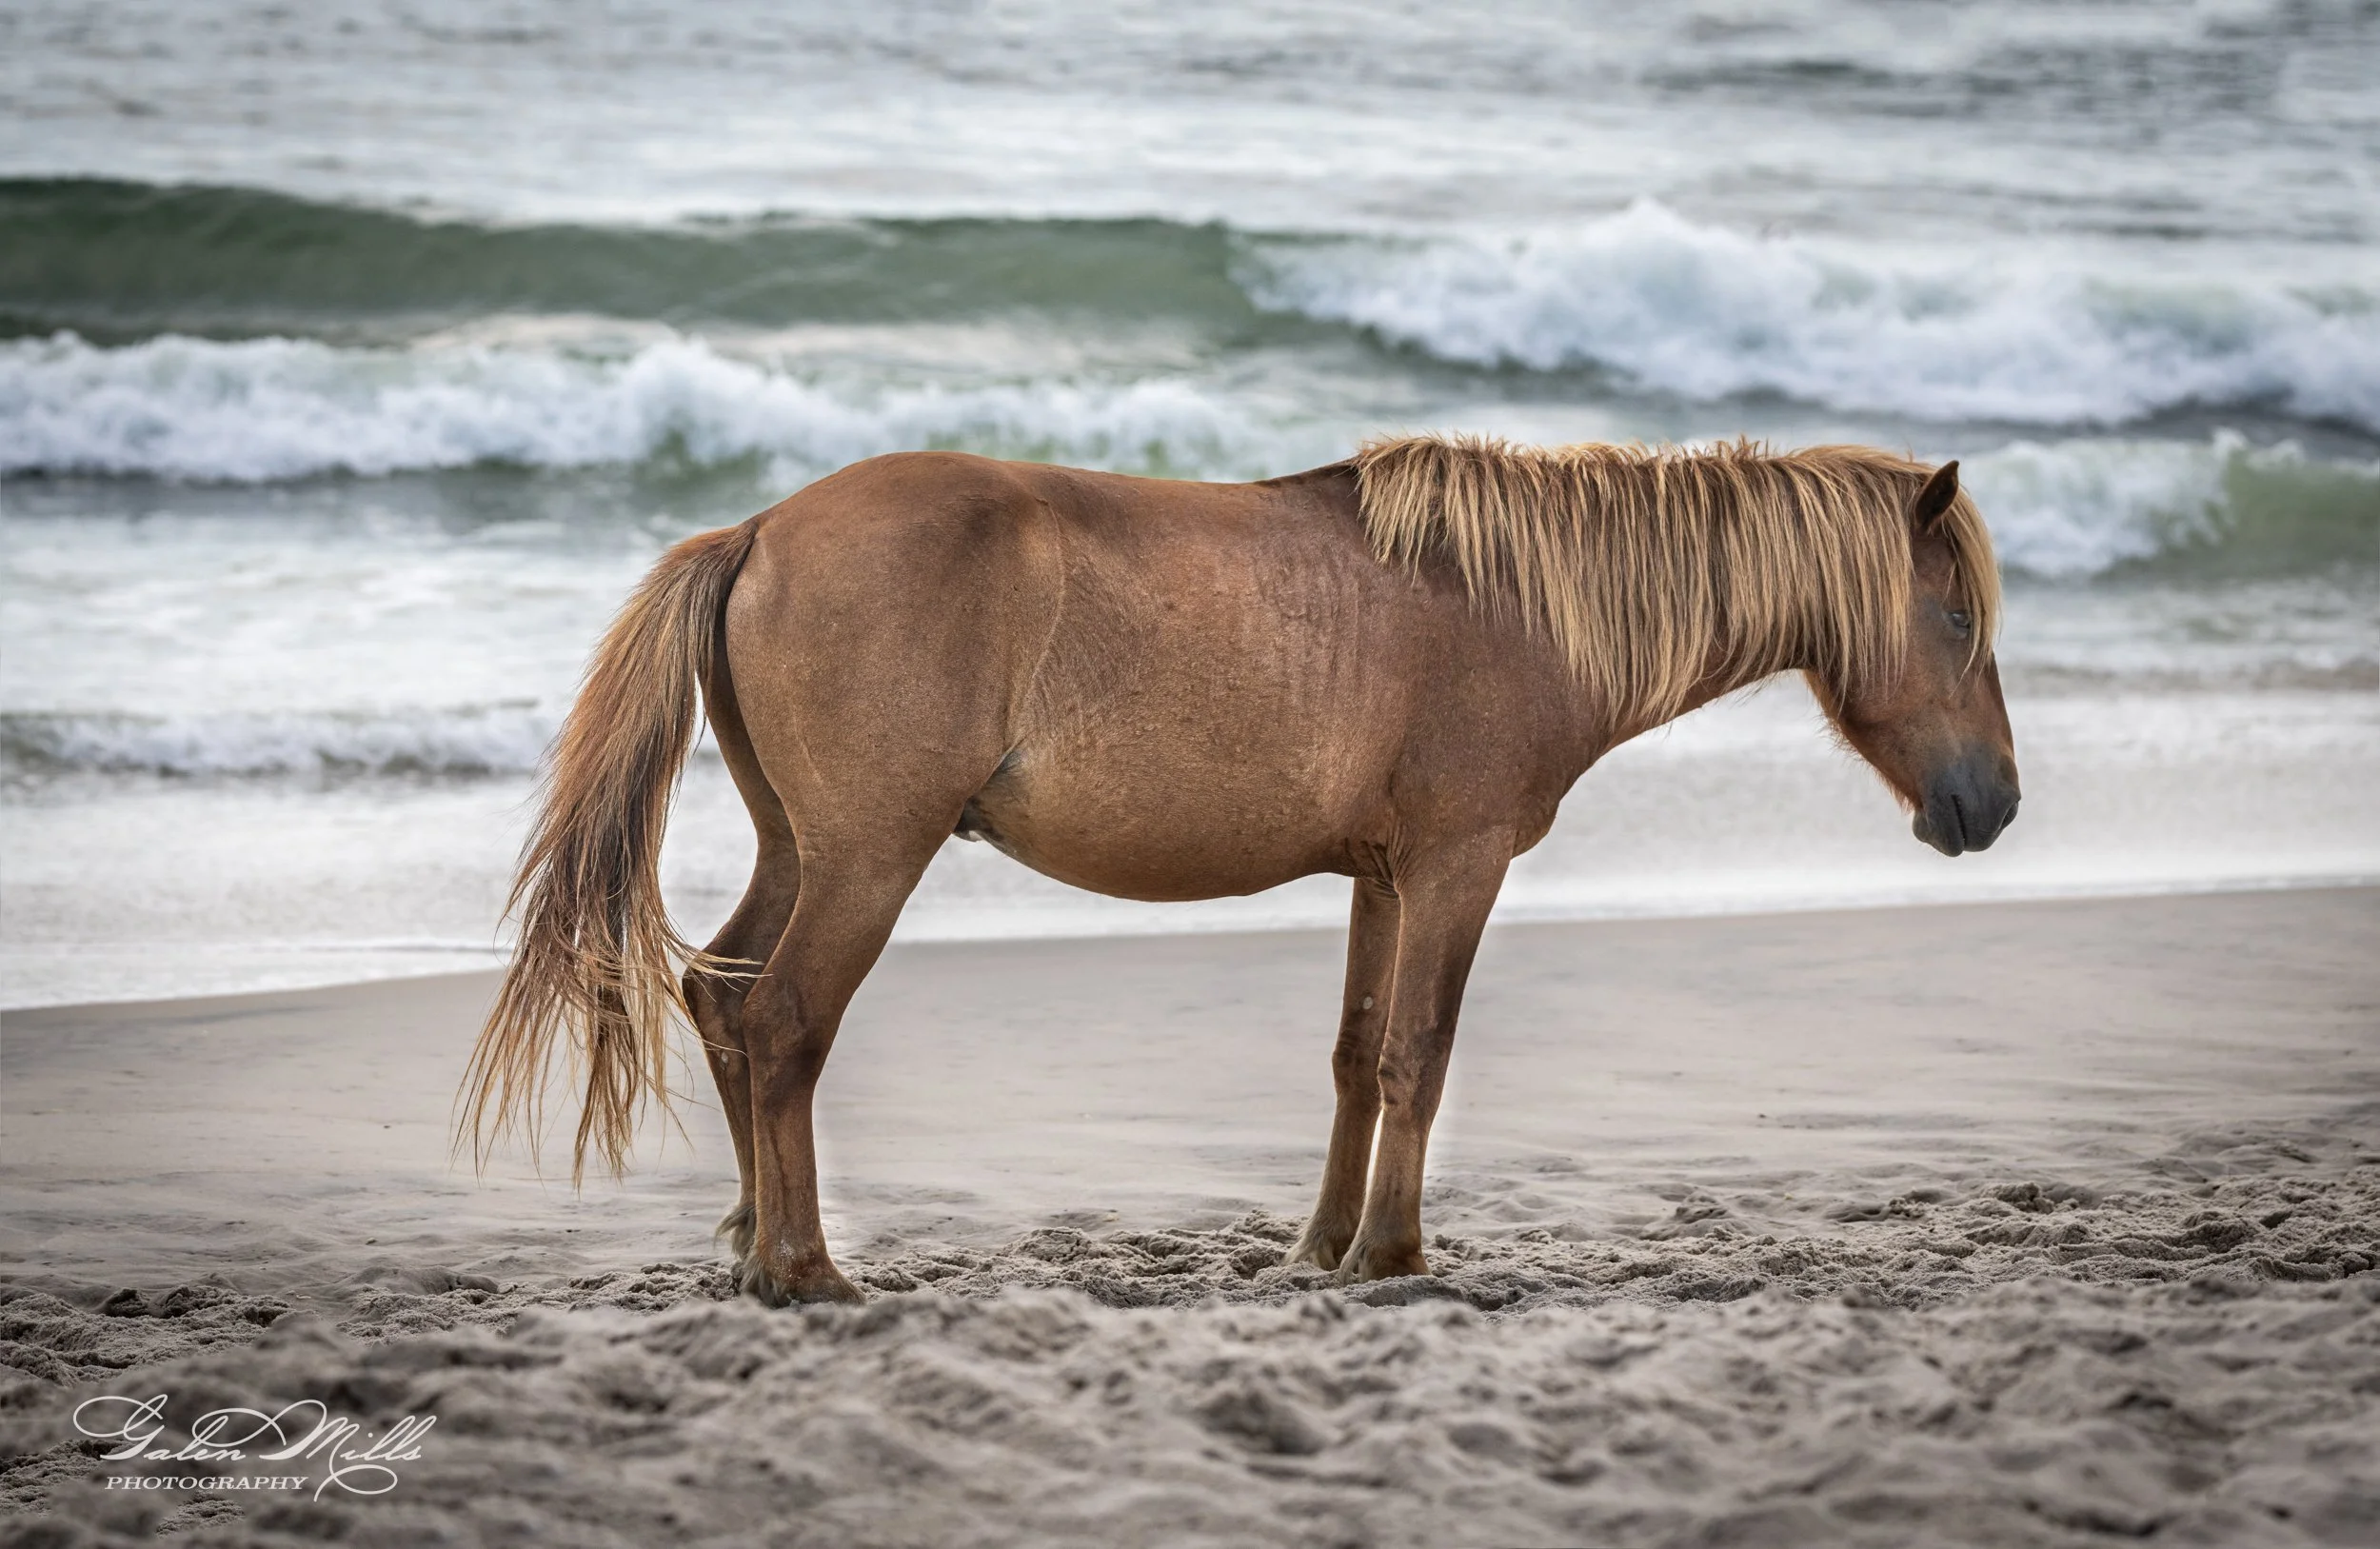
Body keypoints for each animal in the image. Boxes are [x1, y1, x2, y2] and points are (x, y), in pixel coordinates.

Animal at [462, 434, 2018, 1306]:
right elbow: (1419, 1054)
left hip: (804, 848)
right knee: (781, 1022)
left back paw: (747, 1245)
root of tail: (762, 530)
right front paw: (1394, 1254)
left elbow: (1357, 1055)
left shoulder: (1384, 876)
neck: (1508, 603)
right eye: (1953, 619)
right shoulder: (1454, 869)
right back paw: (803, 1266)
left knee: (722, 1002)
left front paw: (1320, 1247)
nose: (1992, 802)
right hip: (866, 860)